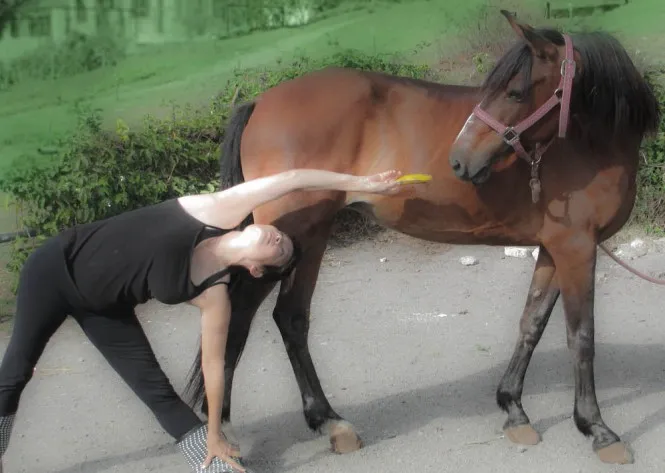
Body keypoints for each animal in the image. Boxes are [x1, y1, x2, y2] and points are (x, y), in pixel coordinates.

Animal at [183, 10, 661, 466]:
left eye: (514, 93)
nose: (460, 159)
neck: (586, 144)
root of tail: (260, 100)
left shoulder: (553, 247)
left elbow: (532, 323)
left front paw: (513, 409)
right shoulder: (577, 248)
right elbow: (581, 337)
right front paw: (598, 430)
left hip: (311, 236)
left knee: (291, 318)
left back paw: (330, 423)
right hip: (286, 236)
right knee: (239, 318)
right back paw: (226, 434)